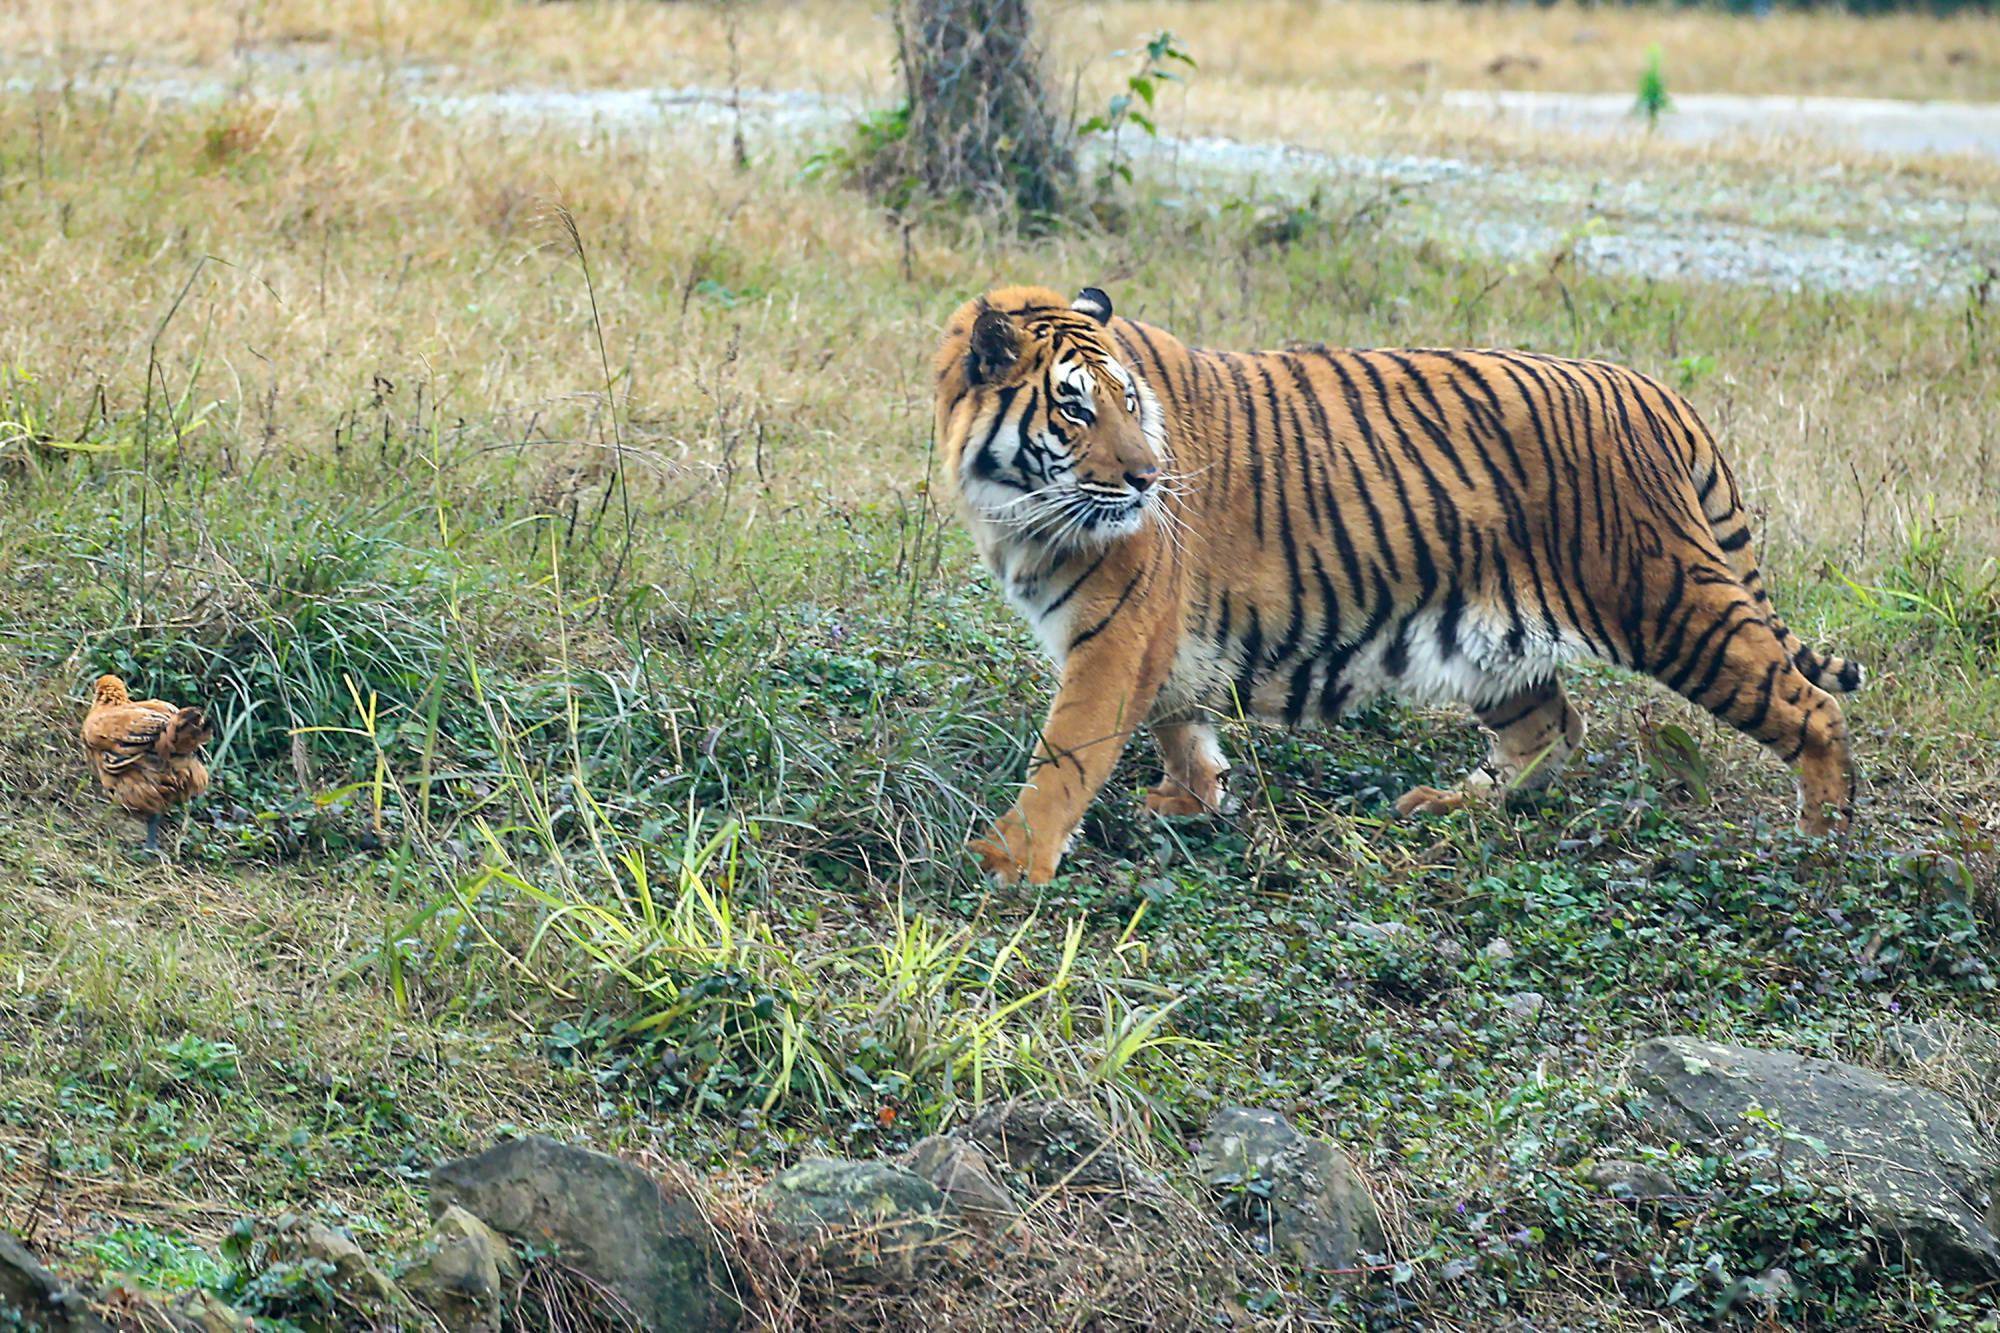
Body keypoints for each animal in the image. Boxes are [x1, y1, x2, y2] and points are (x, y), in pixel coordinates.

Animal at [928, 280, 1864, 880]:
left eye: (1127, 402)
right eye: (1075, 407)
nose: (1149, 480)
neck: (1013, 503)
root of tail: (1653, 389)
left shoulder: (1118, 633)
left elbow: (1068, 753)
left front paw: (1008, 862)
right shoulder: (1159, 637)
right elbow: (1178, 722)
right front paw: (1194, 799)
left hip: (1666, 599)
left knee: (1811, 707)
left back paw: (1821, 845)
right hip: (1500, 637)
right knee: (1554, 725)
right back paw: (1453, 803)